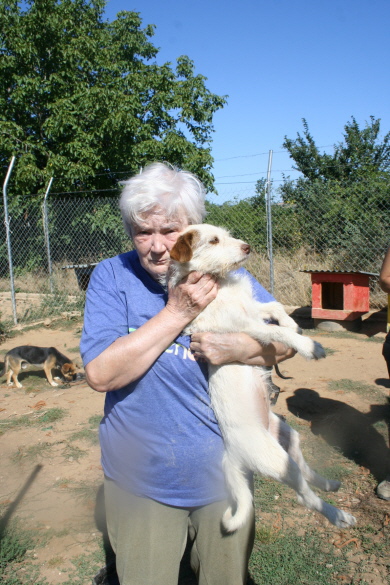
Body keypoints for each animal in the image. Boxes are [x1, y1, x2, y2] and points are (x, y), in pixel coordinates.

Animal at [169, 225, 354, 532]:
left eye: (225, 234)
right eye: (214, 240)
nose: (247, 247)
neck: (221, 284)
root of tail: (232, 453)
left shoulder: (253, 310)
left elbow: (275, 307)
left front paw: (295, 325)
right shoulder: (248, 327)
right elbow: (278, 331)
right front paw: (310, 347)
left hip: (289, 436)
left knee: (305, 470)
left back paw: (328, 483)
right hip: (279, 462)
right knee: (304, 496)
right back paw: (338, 515)